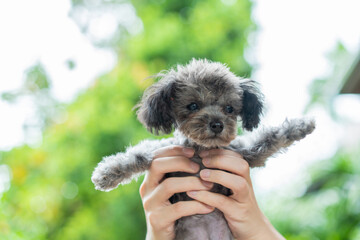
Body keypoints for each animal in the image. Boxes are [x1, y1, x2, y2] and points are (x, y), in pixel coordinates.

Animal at [92, 58, 316, 240]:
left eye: (229, 108)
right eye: (193, 105)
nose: (217, 124)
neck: (201, 151)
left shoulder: (247, 152)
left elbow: (273, 136)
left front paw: (301, 125)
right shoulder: (162, 151)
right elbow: (137, 155)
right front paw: (106, 173)